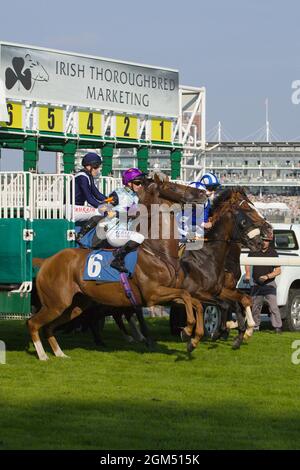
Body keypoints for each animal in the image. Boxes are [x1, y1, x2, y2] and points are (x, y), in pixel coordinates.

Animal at [28, 176, 206, 360]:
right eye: (172, 187)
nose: (203, 192)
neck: (159, 253)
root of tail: (47, 261)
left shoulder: (167, 295)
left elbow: (195, 302)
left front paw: (193, 339)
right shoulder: (153, 294)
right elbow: (185, 295)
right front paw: (187, 330)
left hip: (74, 306)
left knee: (49, 327)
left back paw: (60, 353)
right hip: (56, 303)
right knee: (33, 323)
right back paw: (43, 355)